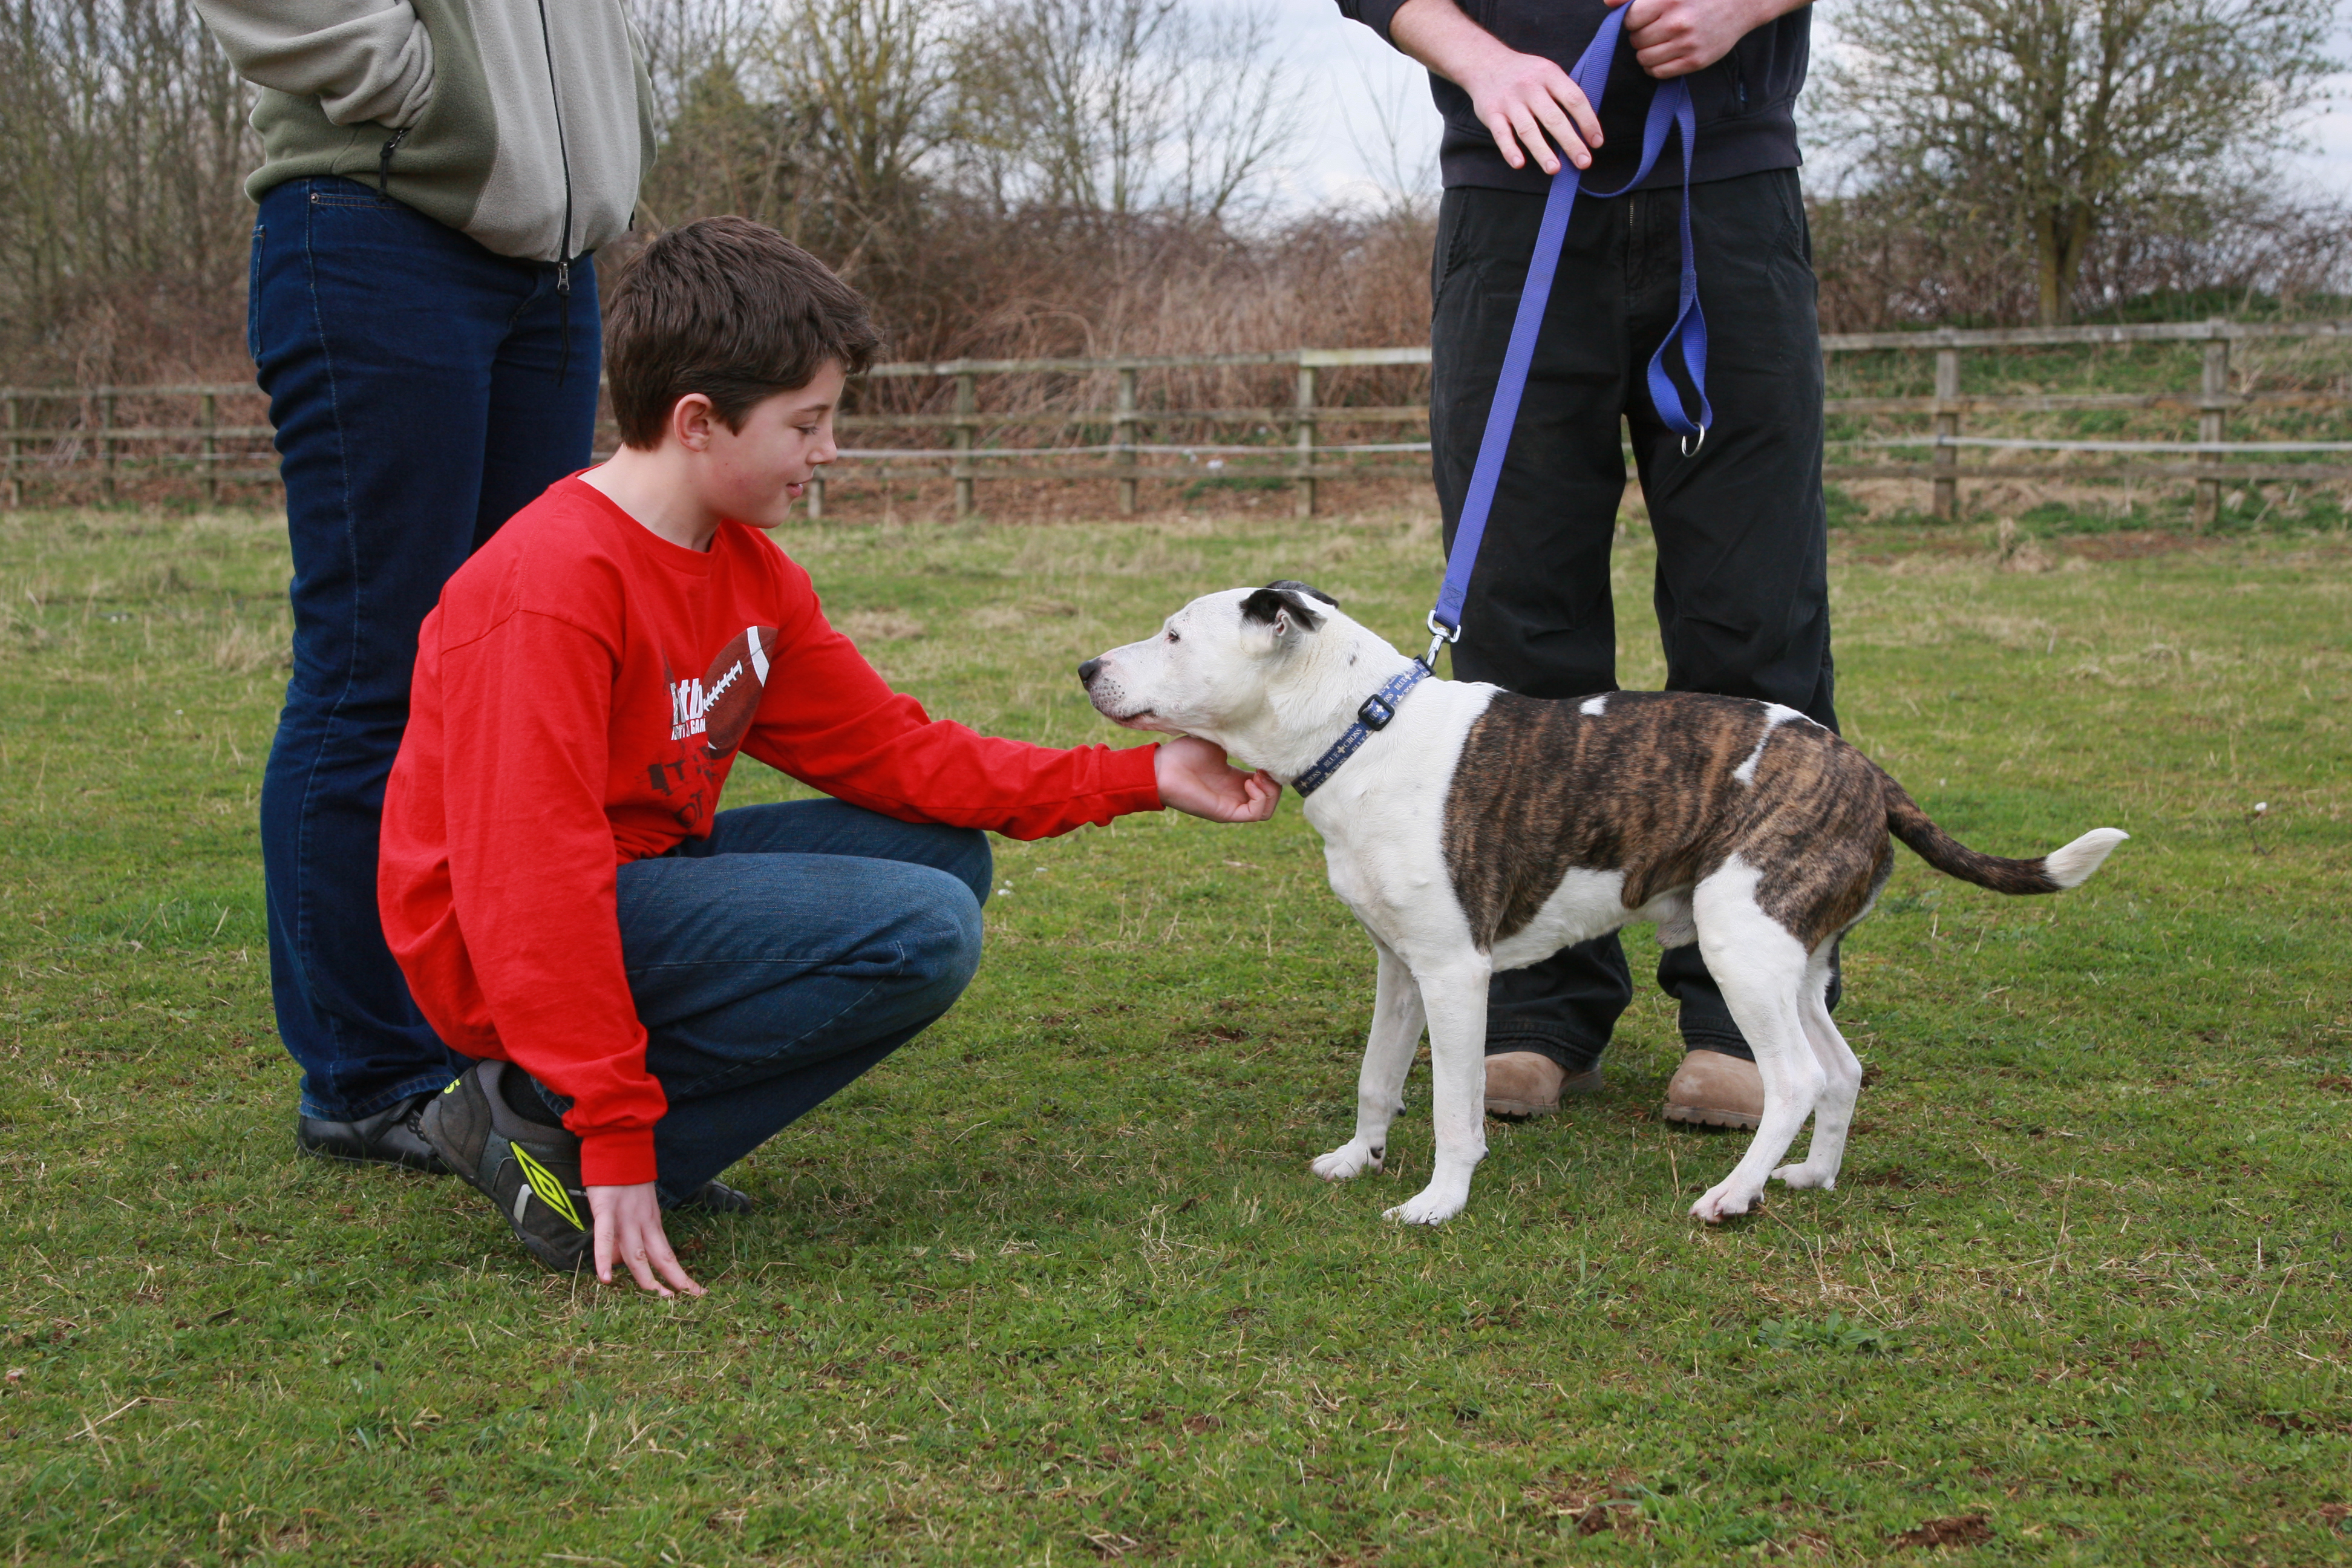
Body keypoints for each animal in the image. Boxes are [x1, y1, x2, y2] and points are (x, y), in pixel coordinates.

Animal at [1082, 583, 2135, 1232]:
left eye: (1174, 635)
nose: (1087, 668)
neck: (1365, 731)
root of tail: (1867, 771)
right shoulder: (1399, 966)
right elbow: (1379, 1077)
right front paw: (1359, 1157)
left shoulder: (1456, 973)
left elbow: (1455, 1107)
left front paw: (1438, 1203)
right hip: (1791, 956)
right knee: (1841, 1071)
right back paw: (1805, 1178)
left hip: (1741, 948)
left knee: (1795, 1080)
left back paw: (1732, 1195)